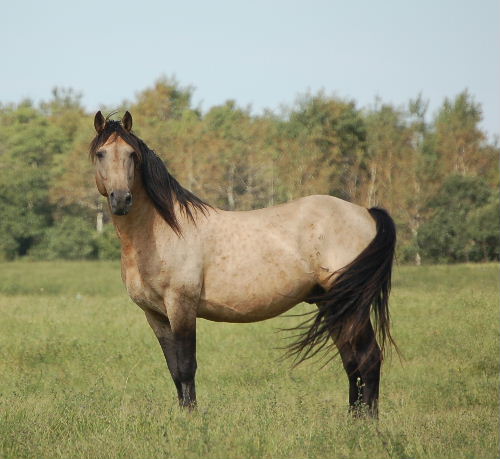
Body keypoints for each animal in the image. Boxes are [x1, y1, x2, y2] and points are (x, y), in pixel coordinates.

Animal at [89, 110, 394, 416]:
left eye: (132, 154)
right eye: (101, 153)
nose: (121, 199)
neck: (162, 231)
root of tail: (366, 212)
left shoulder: (181, 306)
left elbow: (186, 368)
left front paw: (192, 420)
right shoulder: (155, 315)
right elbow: (174, 370)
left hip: (351, 306)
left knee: (368, 358)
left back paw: (368, 423)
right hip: (333, 305)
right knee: (352, 361)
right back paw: (353, 420)